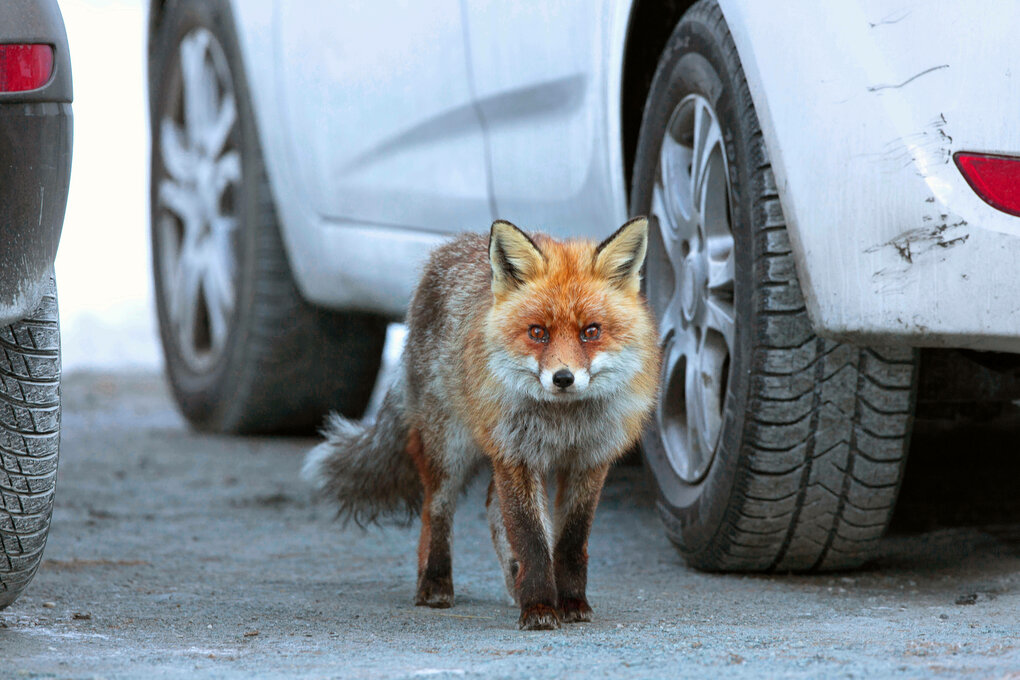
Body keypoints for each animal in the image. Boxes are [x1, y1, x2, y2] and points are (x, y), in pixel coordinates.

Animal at [299, 218, 660, 632]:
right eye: (538, 333)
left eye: (591, 332)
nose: (563, 378)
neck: (562, 422)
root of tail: (446, 250)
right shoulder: (515, 455)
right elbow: (532, 538)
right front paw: (539, 607)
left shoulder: (589, 461)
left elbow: (569, 542)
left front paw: (569, 602)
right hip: (450, 447)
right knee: (436, 509)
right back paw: (435, 584)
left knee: (490, 506)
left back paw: (514, 582)